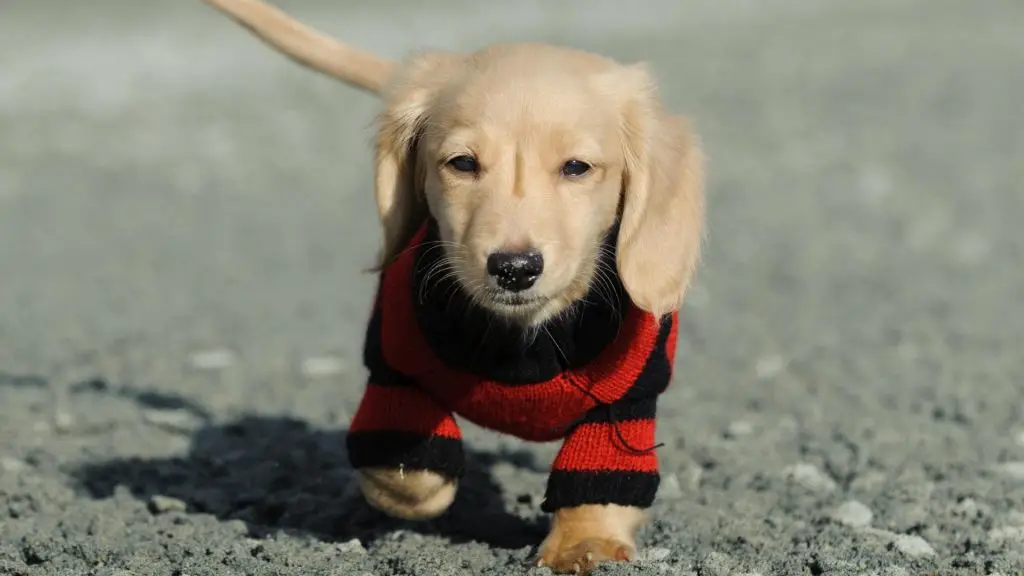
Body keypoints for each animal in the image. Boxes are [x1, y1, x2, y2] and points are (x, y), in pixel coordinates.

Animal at [203, 2, 708, 569]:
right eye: (462, 163)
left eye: (577, 167)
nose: (514, 268)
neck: (521, 338)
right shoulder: (396, 367)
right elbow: (410, 470)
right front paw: (416, 494)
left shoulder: (626, 399)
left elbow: (602, 479)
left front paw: (585, 544)